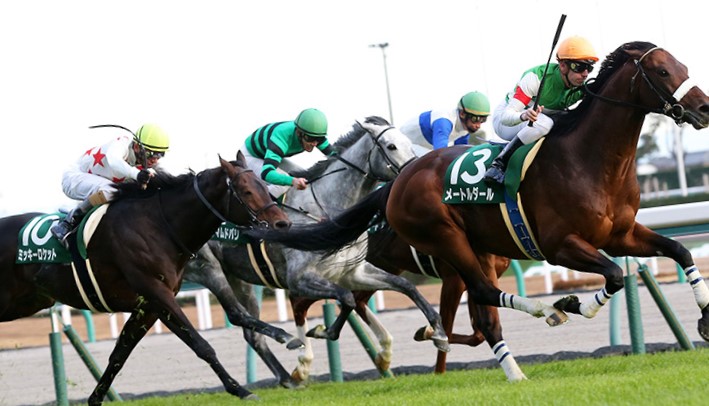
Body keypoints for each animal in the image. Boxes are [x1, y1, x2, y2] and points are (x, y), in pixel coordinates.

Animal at [0, 153, 295, 404]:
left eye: (264, 186)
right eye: (246, 191)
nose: (283, 224)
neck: (158, 224)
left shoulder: (150, 305)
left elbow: (119, 355)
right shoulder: (156, 292)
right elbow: (202, 344)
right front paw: (242, 389)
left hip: (27, 302)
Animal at [184, 116, 451, 383]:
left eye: (407, 141)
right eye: (391, 146)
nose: (414, 171)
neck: (325, 209)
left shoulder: (353, 272)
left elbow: (404, 286)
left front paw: (438, 333)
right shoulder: (299, 278)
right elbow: (345, 298)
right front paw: (323, 332)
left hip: (239, 279)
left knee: (252, 333)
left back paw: (288, 377)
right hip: (207, 270)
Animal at [245, 42, 709, 350]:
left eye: (682, 65)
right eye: (662, 72)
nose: (703, 109)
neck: (590, 160)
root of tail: (399, 180)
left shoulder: (621, 233)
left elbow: (680, 252)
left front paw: (704, 320)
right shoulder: (560, 245)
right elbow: (613, 275)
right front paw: (579, 305)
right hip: (445, 237)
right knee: (481, 291)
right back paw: (546, 310)